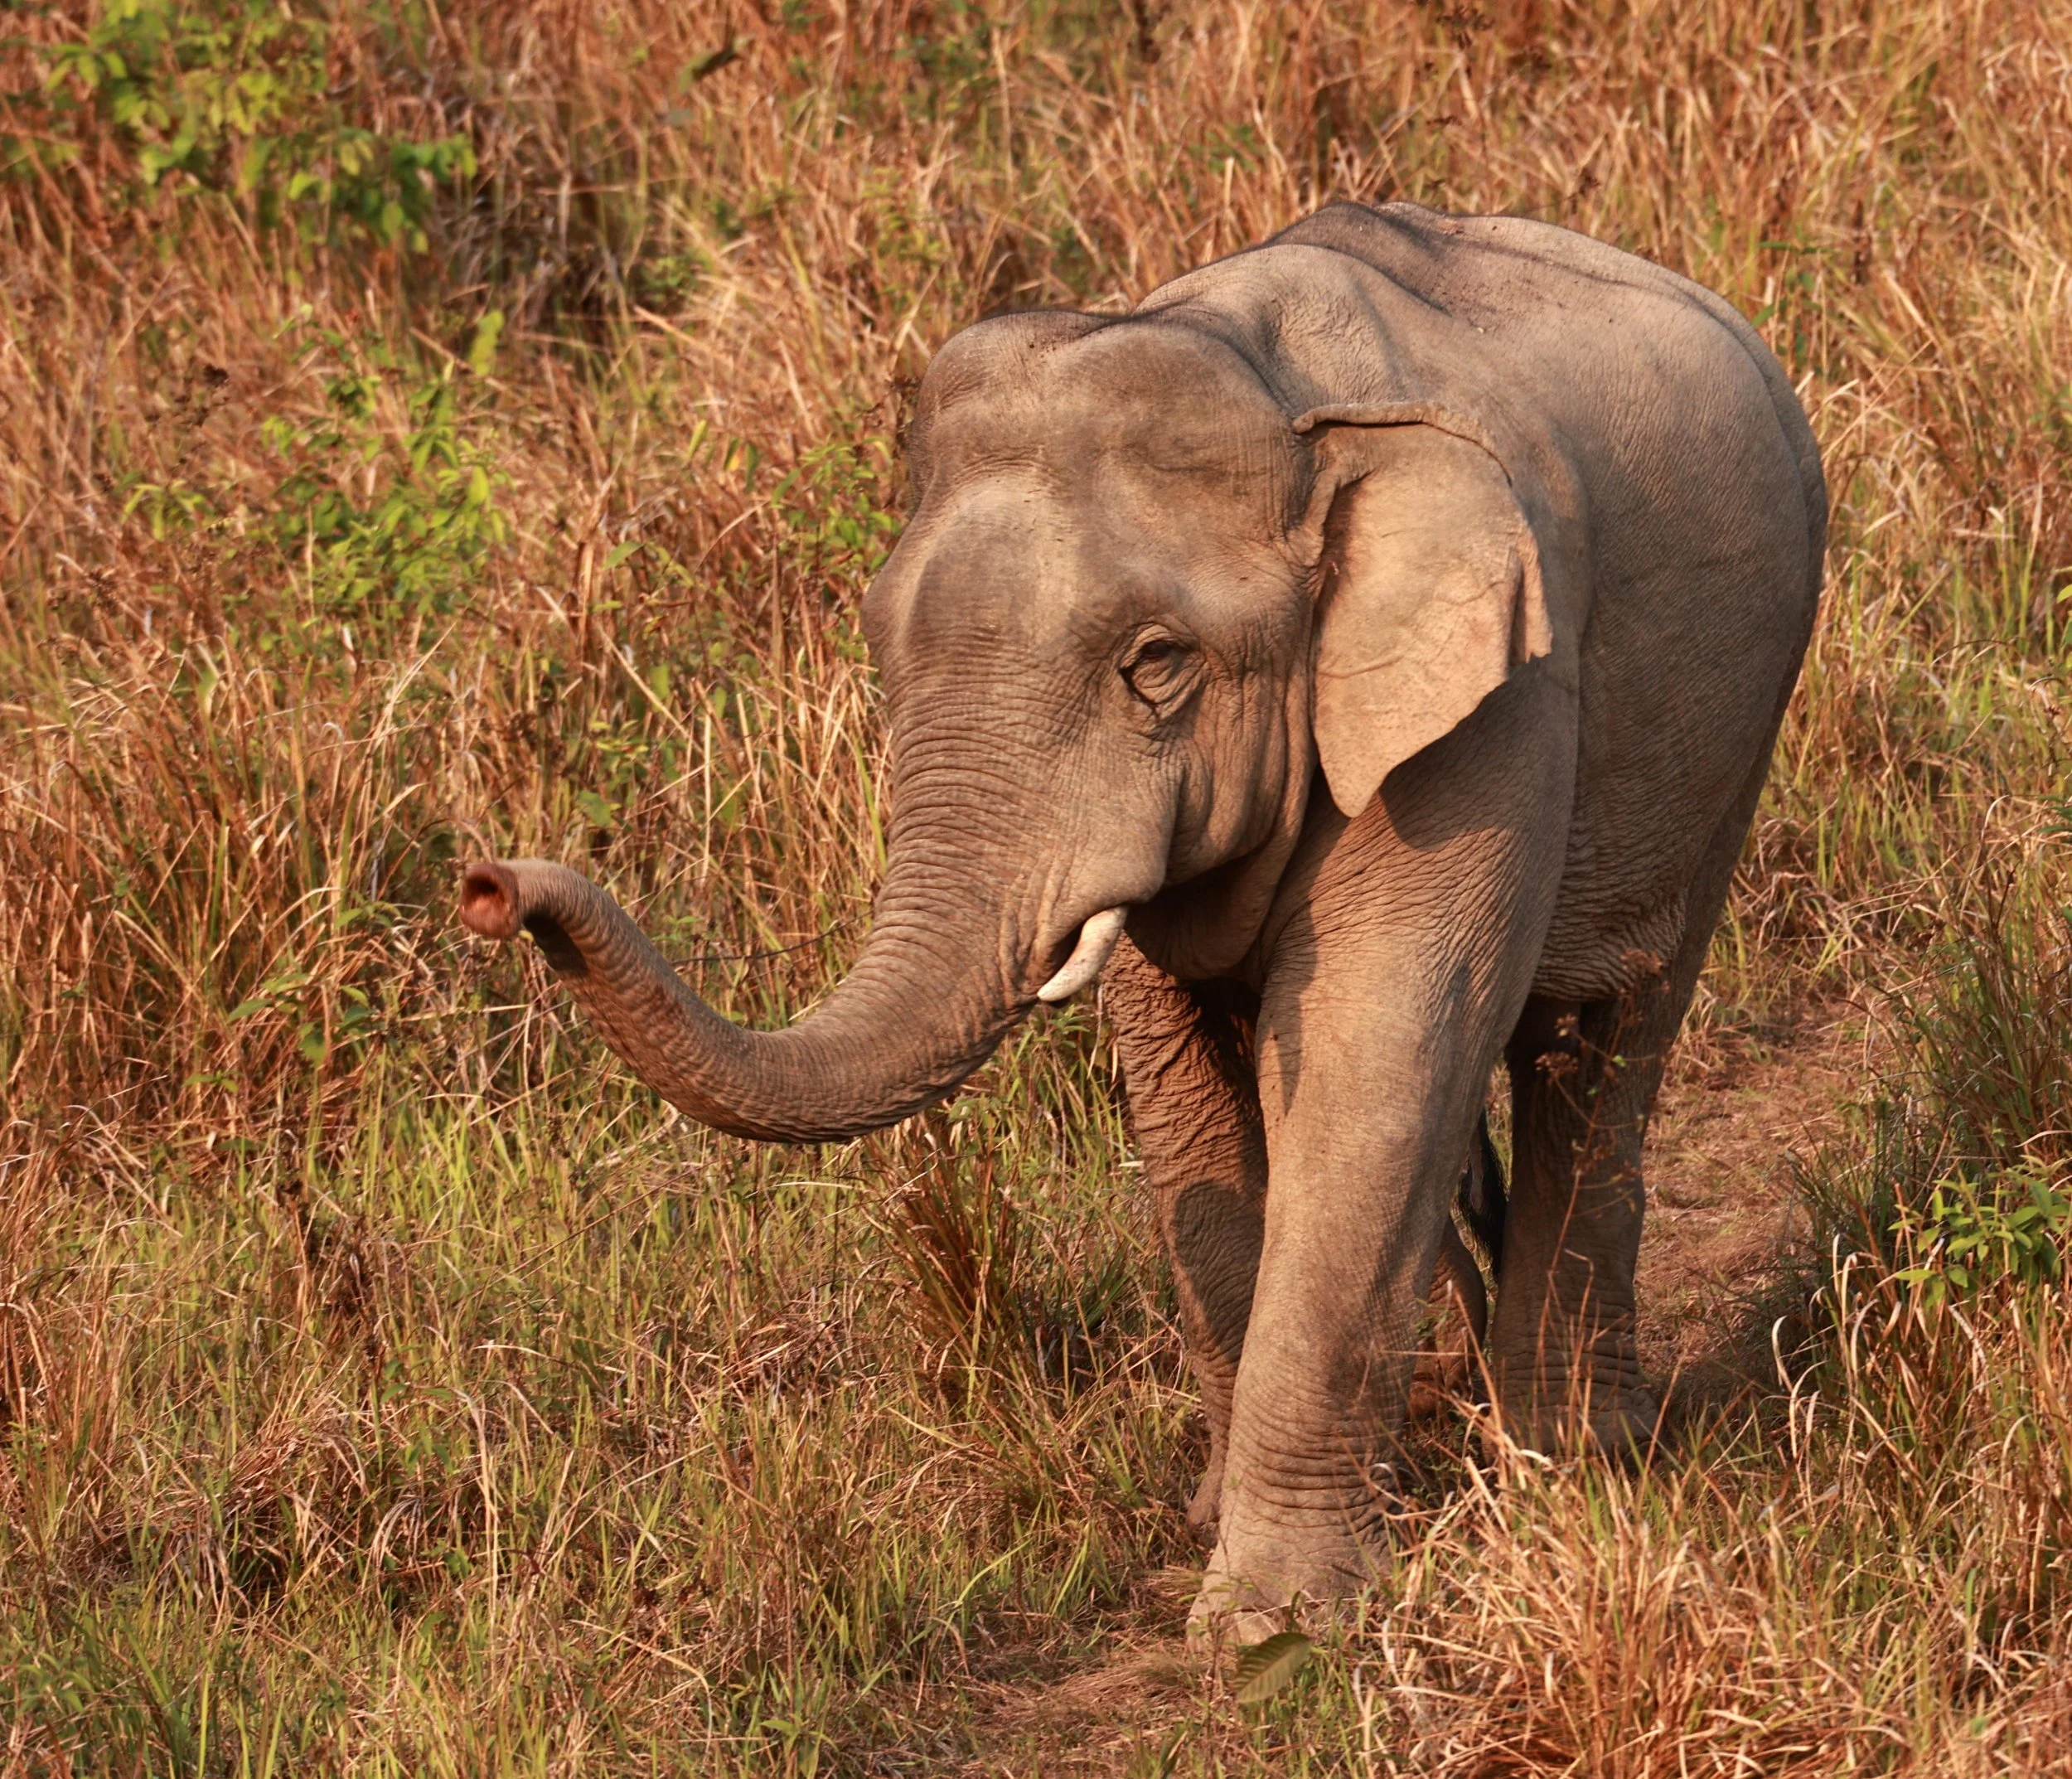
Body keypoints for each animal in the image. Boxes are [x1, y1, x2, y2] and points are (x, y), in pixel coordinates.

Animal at [458, 201, 1825, 1636]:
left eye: (1158, 665)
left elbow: (1379, 1055)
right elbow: (1185, 1094)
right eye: (882, 648)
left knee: (1608, 1038)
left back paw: (1570, 1455)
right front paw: (1223, 1529)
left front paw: (1270, 1626)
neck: (1274, 399)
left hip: (1745, 720)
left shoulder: (1498, 694)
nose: (488, 885)